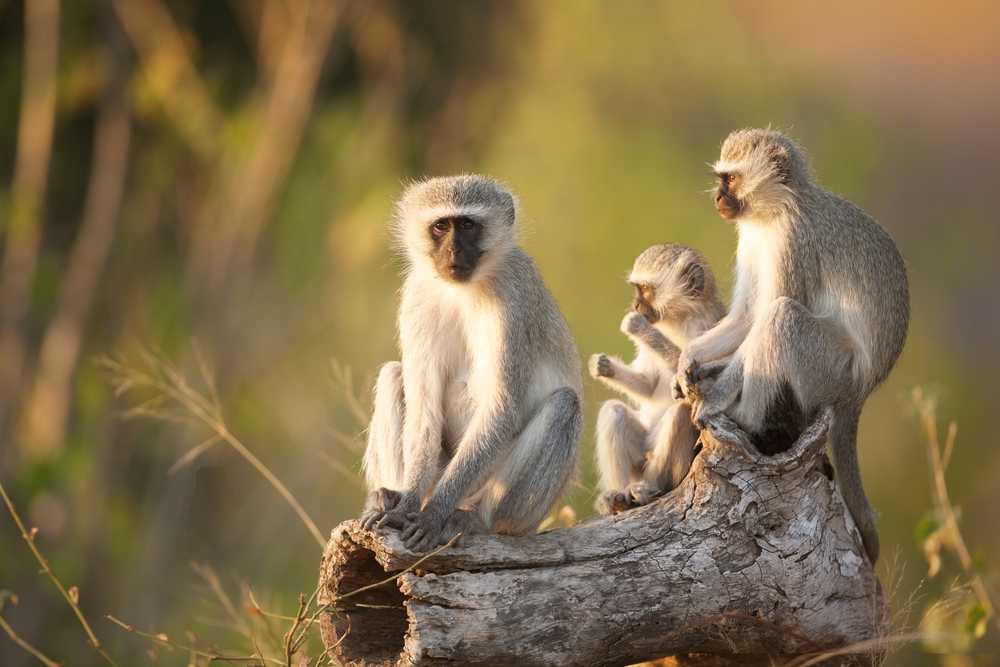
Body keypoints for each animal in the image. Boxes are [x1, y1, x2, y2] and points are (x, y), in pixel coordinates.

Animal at [360, 172, 584, 552]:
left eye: (467, 225)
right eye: (441, 226)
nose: (452, 251)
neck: (462, 290)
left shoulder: (514, 300)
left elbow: (501, 410)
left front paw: (431, 516)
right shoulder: (416, 297)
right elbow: (424, 414)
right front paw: (405, 507)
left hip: (514, 504)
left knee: (564, 405)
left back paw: (475, 518)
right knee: (392, 373)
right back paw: (389, 495)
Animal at [588, 245, 724, 516]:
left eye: (645, 289)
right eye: (637, 288)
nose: (636, 306)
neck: (678, 318)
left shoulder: (709, 326)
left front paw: (637, 326)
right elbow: (649, 385)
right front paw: (602, 366)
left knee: (680, 413)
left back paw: (649, 487)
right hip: (641, 455)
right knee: (614, 411)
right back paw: (617, 495)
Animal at [676, 126, 912, 564]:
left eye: (730, 179)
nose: (717, 197)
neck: (773, 213)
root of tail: (861, 391)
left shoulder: (792, 242)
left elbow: (765, 316)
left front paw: (716, 396)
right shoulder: (751, 239)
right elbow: (747, 315)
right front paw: (690, 360)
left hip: (832, 371)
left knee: (780, 317)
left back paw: (745, 419)